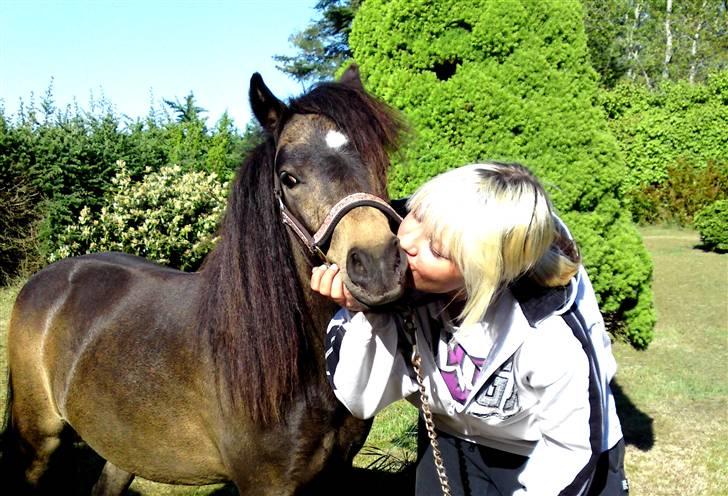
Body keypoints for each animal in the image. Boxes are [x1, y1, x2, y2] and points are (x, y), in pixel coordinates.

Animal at [1, 65, 408, 495]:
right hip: (37, 440)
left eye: (378, 162)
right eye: (289, 178)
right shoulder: (266, 485)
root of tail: (47, 279)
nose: (378, 265)